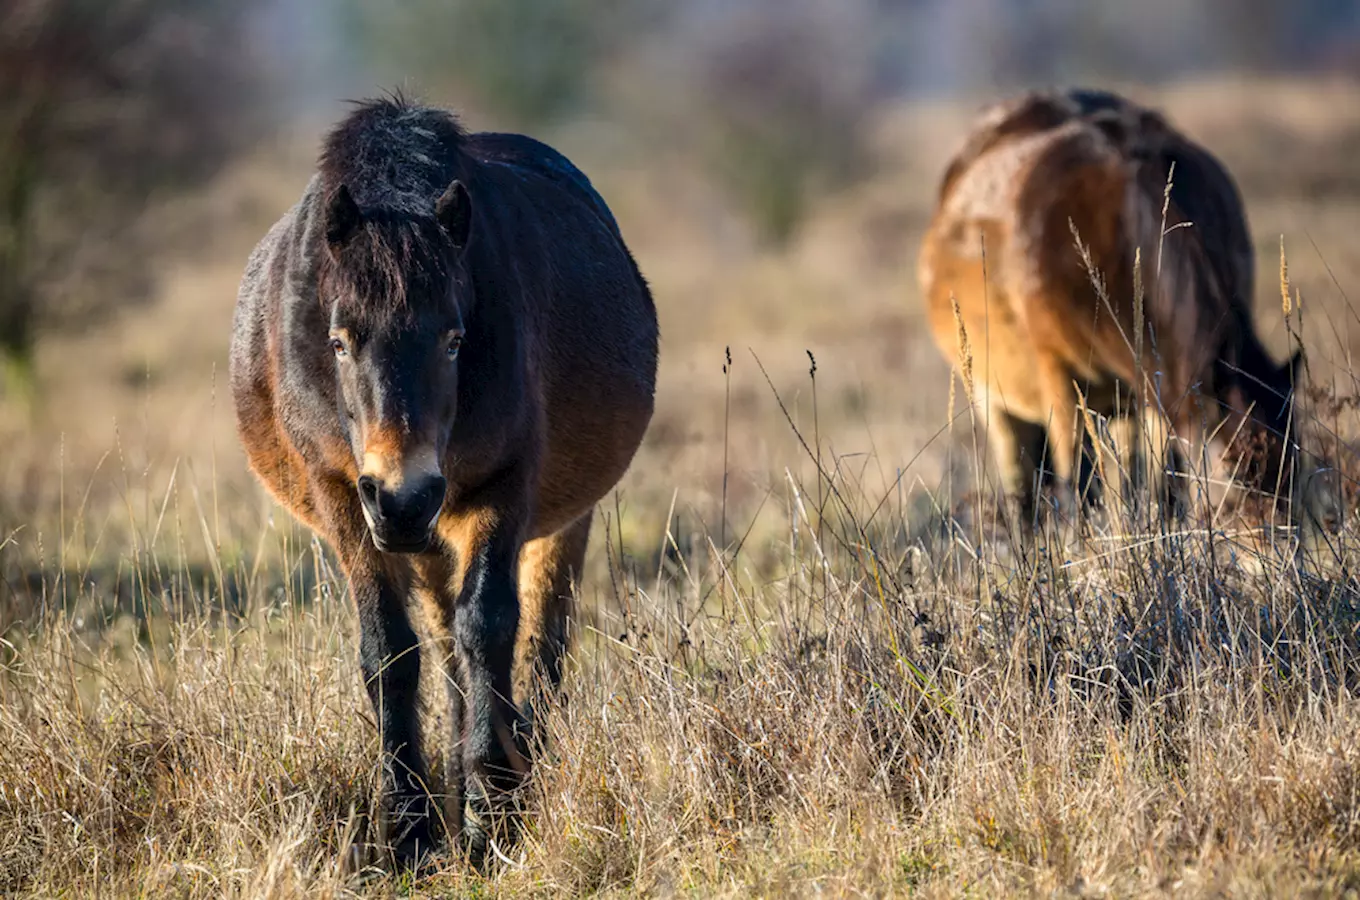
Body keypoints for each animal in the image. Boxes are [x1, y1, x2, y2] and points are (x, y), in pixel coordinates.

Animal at [228, 97, 658, 870]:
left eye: (455, 339)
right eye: (339, 340)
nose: (404, 497)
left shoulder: (504, 488)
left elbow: (490, 629)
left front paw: (493, 819)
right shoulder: (344, 499)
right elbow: (390, 652)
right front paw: (409, 831)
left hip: (547, 525)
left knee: (540, 644)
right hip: (425, 543)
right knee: (448, 652)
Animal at [919, 88, 1300, 524]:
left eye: (1296, 475)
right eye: (1233, 496)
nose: (1286, 546)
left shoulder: (1160, 385)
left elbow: (1161, 487)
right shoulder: (1058, 377)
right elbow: (1079, 489)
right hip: (991, 393)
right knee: (1024, 489)